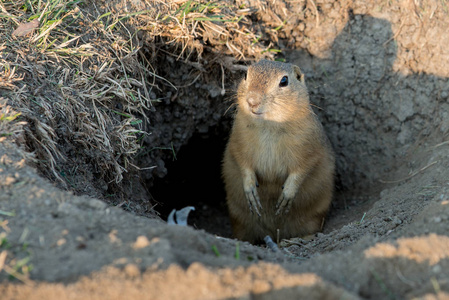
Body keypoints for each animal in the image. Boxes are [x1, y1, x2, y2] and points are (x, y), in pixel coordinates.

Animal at [222, 59, 334, 244]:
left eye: (284, 81)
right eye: (245, 75)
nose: (252, 100)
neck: (269, 124)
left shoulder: (310, 145)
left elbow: (303, 169)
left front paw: (285, 196)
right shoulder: (237, 140)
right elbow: (242, 162)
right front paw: (250, 190)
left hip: (315, 215)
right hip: (237, 217)